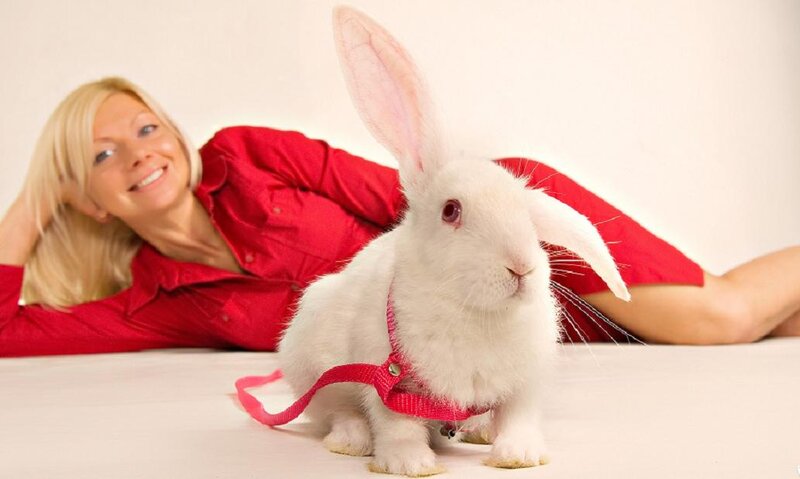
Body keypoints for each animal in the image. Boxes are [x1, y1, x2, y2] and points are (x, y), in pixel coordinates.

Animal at [277, 5, 631, 477]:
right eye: (451, 211)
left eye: (526, 214)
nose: (521, 266)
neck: (477, 314)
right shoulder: (386, 377)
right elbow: (396, 423)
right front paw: (410, 464)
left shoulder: (524, 383)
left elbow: (518, 416)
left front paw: (519, 456)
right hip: (312, 367)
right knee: (339, 411)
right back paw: (351, 441)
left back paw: (479, 431)